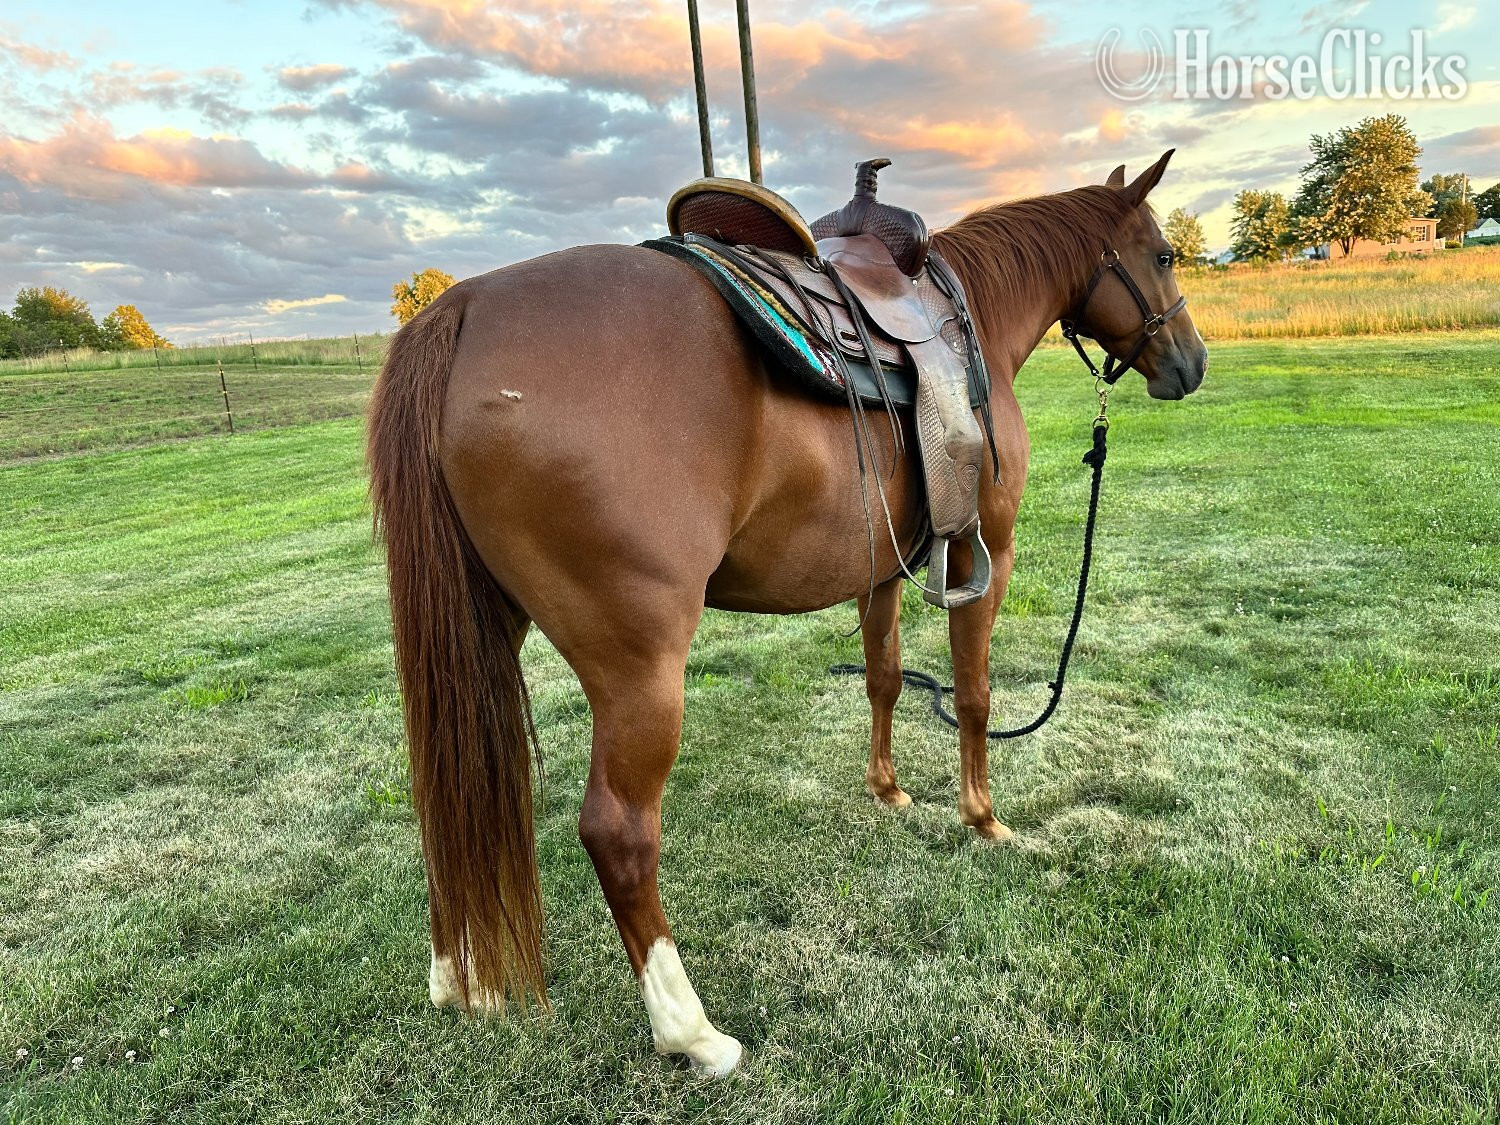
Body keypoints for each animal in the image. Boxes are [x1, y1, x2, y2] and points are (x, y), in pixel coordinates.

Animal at [366, 149, 1207, 1076]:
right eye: (1164, 254)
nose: (1192, 363)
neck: (970, 317)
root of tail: (463, 308)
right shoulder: (983, 553)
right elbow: (975, 693)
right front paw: (983, 817)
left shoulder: (883, 566)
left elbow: (883, 676)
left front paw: (887, 789)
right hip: (639, 667)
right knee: (618, 833)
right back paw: (691, 1031)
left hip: (483, 632)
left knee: (446, 790)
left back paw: (459, 975)